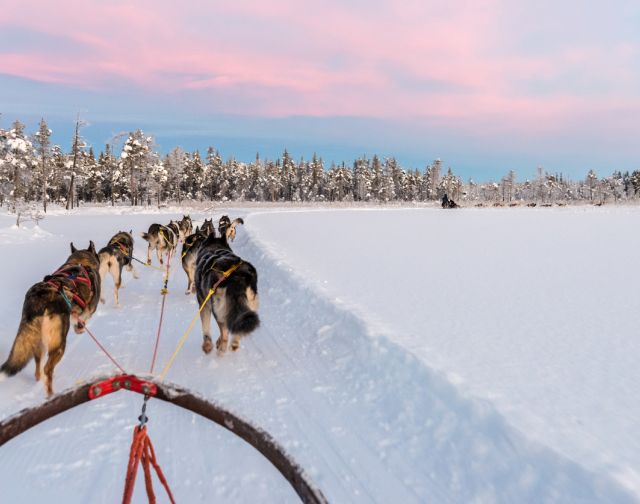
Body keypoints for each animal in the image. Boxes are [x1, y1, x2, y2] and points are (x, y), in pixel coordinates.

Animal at [0, 242, 101, 396]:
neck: (81, 262)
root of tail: (42, 299)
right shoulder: (88, 311)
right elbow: (83, 319)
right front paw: (80, 328)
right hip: (59, 343)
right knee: (47, 368)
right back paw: (51, 394)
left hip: (37, 339)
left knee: (38, 368)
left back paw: (41, 381)